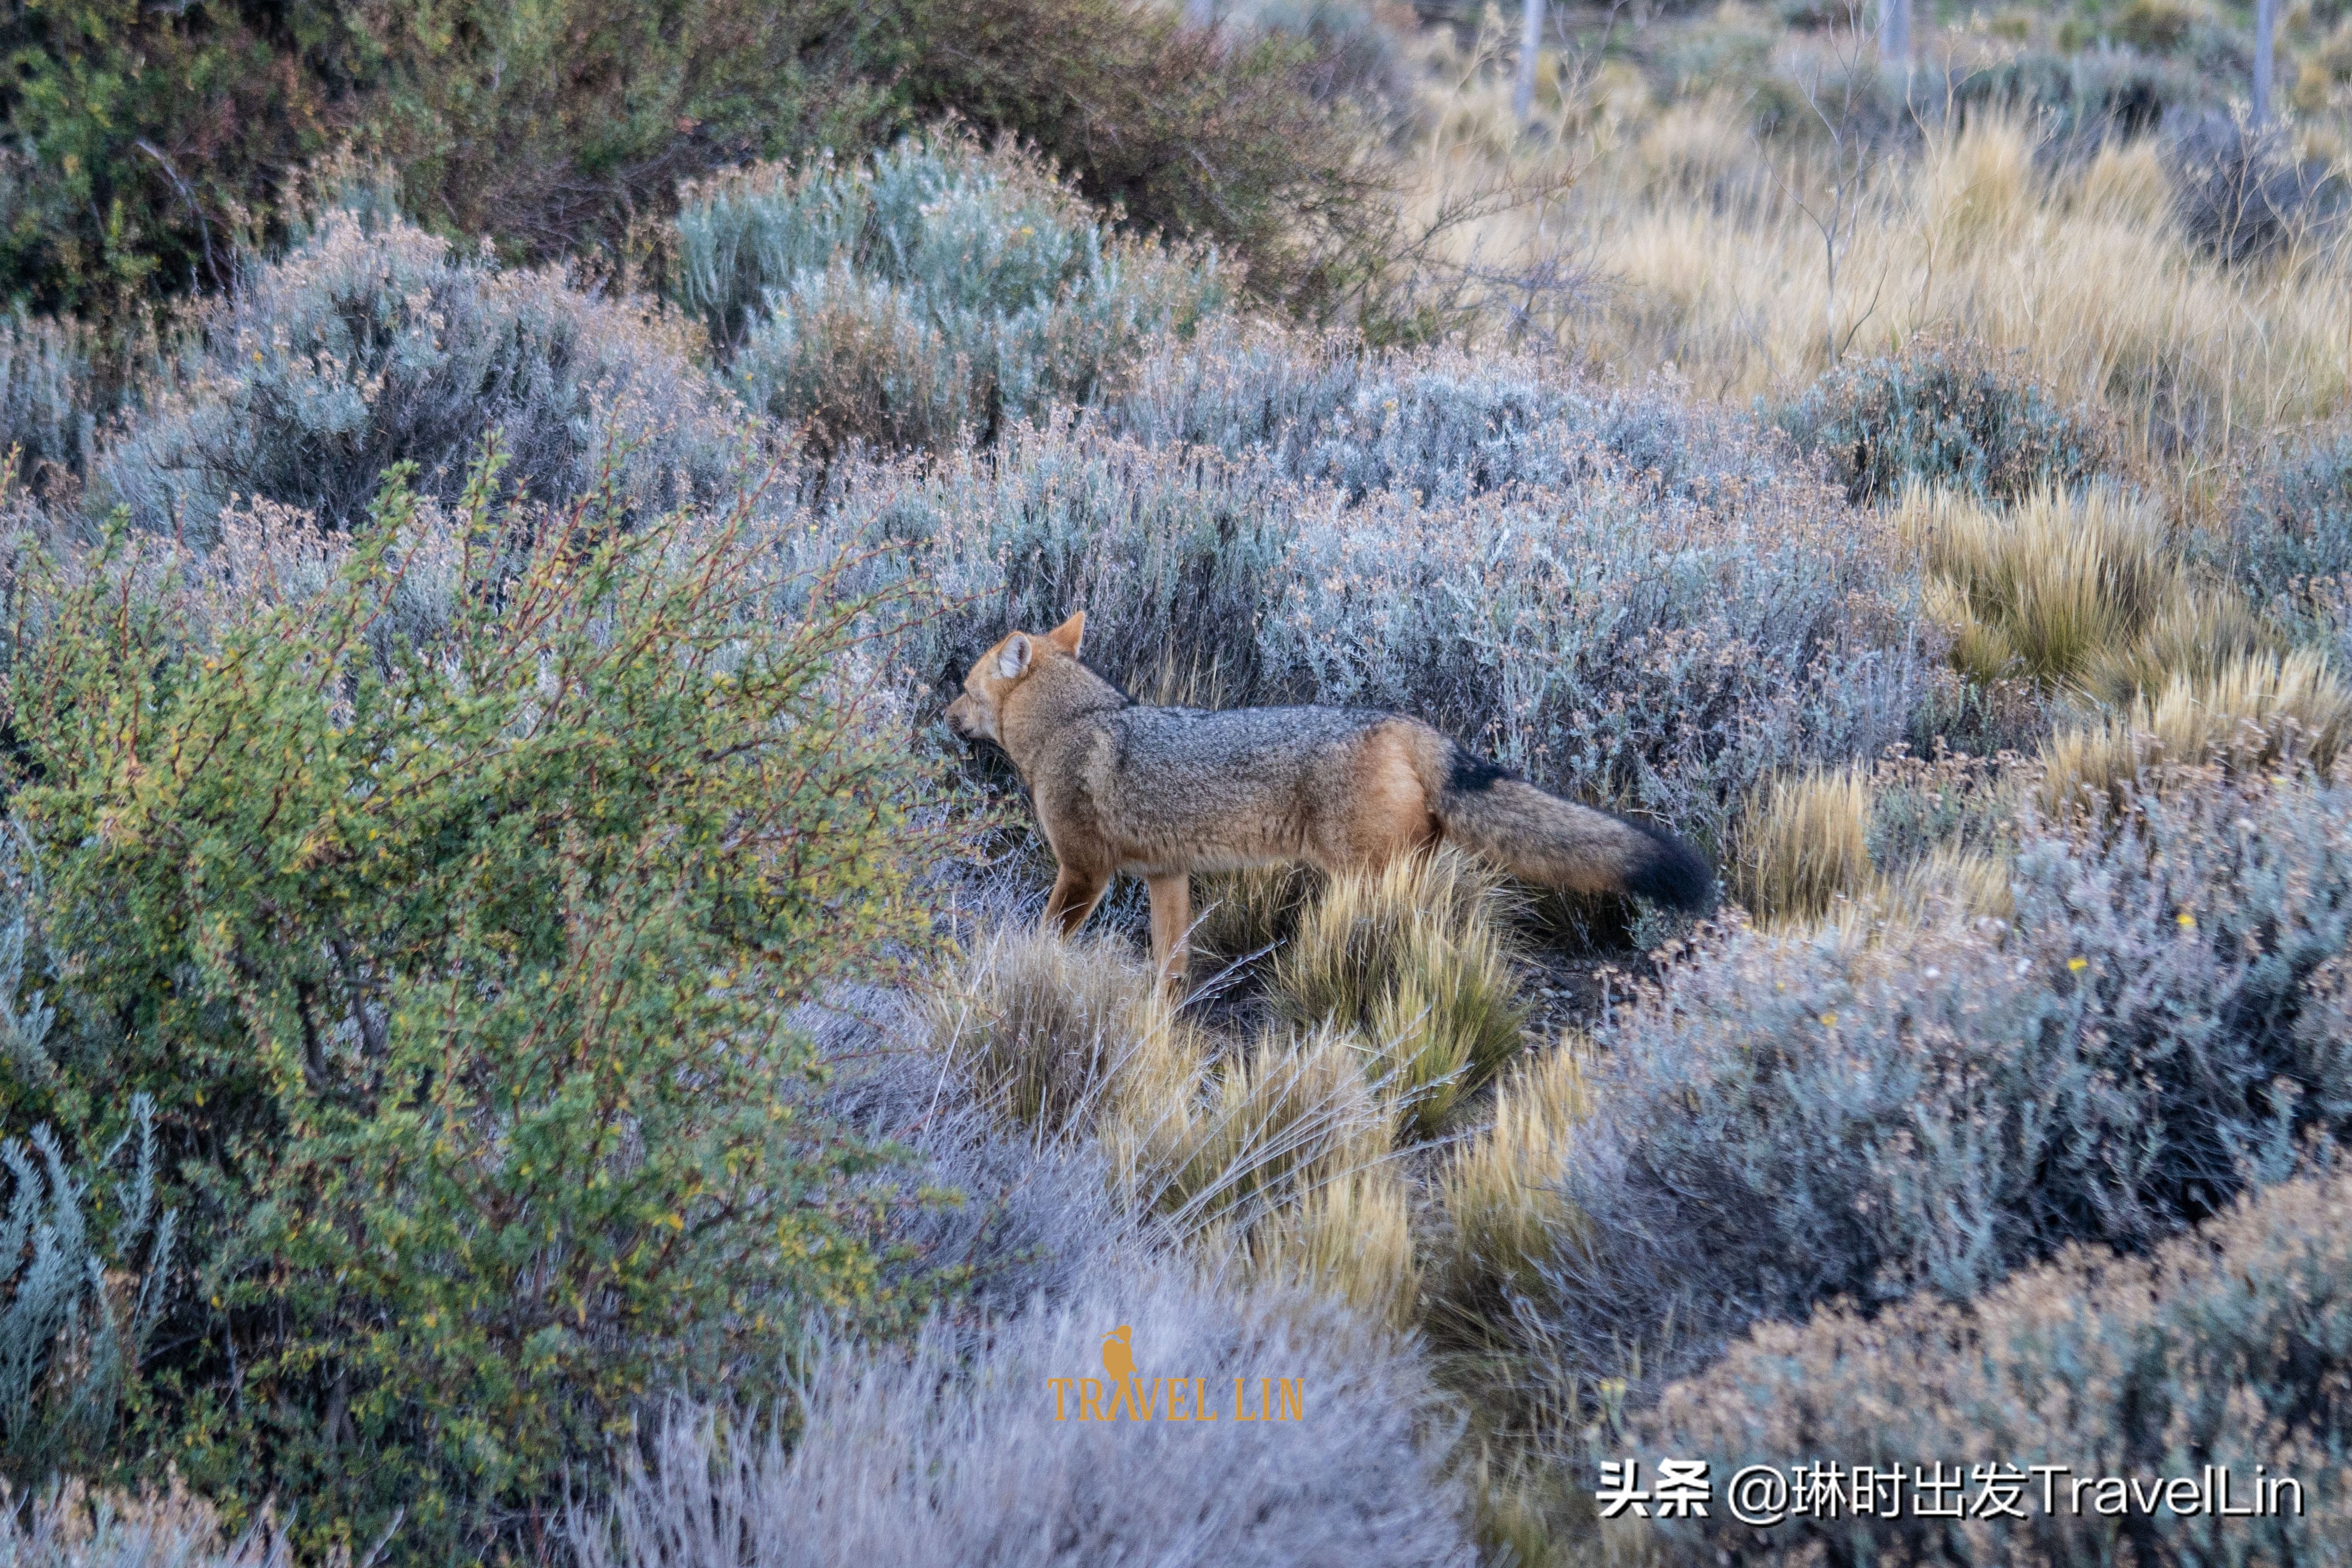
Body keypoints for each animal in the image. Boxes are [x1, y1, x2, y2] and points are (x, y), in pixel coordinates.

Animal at [941, 606, 1712, 987]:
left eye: (967, 690)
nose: (942, 715)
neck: (1073, 722)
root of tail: (1404, 722)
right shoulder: (1169, 875)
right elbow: (1171, 963)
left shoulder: (1083, 871)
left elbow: (1046, 933)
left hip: (1366, 879)